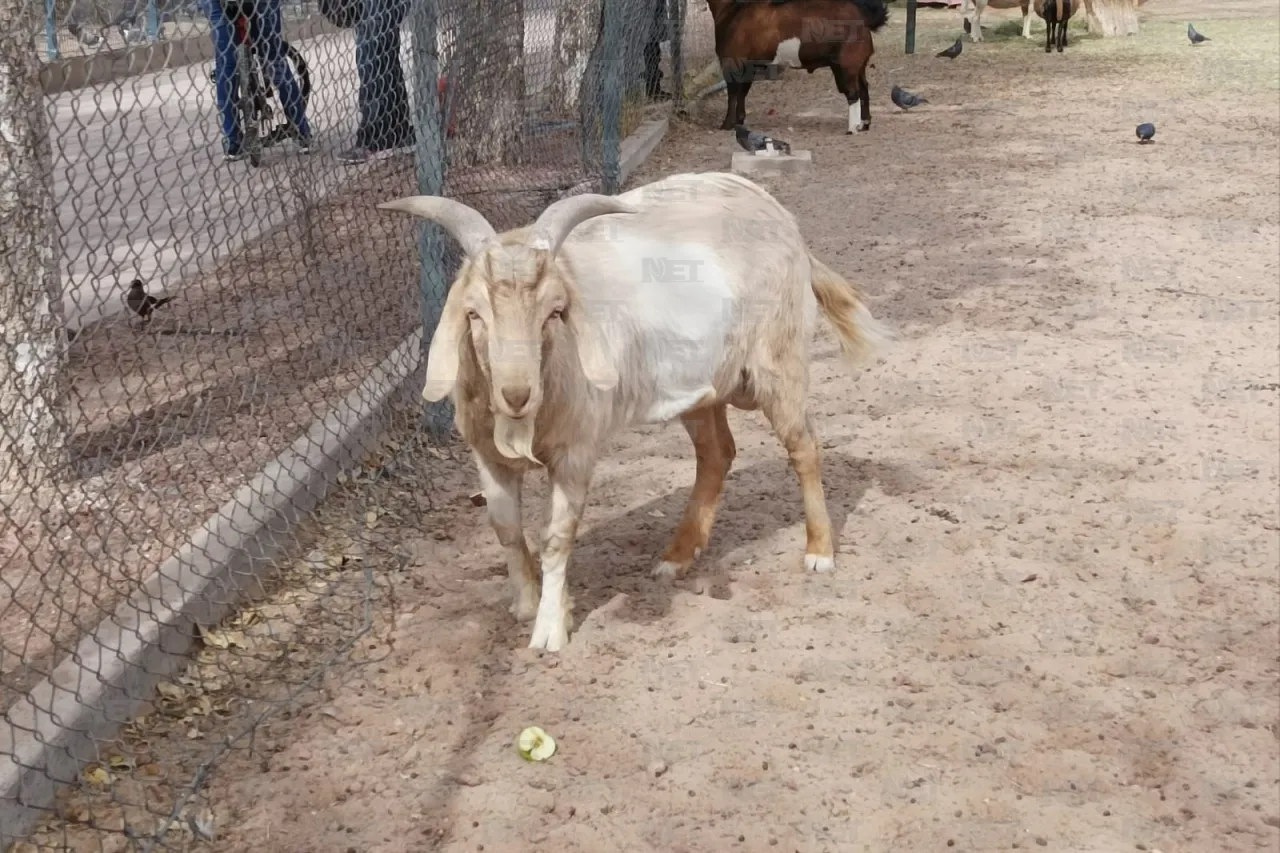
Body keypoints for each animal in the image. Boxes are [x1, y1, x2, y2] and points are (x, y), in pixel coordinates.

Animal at [381, 172, 890, 650]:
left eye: (555, 312)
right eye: (474, 314)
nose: (517, 394)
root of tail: (784, 220)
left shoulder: (576, 449)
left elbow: (557, 538)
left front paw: (550, 630)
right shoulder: (486, 453)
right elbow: (505, 527)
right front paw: (527, 604)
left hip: (779, 360)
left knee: (803, 447)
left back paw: (819, 551)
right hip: (701, 386)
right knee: (717, 453)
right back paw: (676, 558)